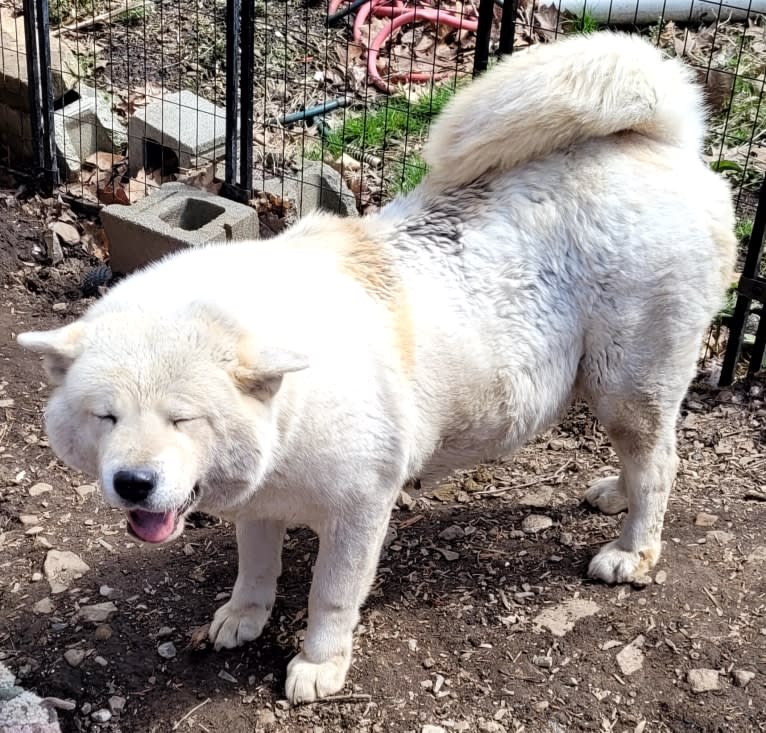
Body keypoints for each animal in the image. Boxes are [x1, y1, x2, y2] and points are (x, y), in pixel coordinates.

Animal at [18, 33, 736, 704]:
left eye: (182, 419)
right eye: (106, 417)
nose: (133, 483)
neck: (293, 401)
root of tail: (661, 142)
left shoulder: (360, 511)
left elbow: (329, 597)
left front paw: (319, 663)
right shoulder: (259, 500)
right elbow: (255, 568)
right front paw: (243, 617)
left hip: (627, 385)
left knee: (660, 462)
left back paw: (632, 549)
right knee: (646, 460)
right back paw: (616, 491)